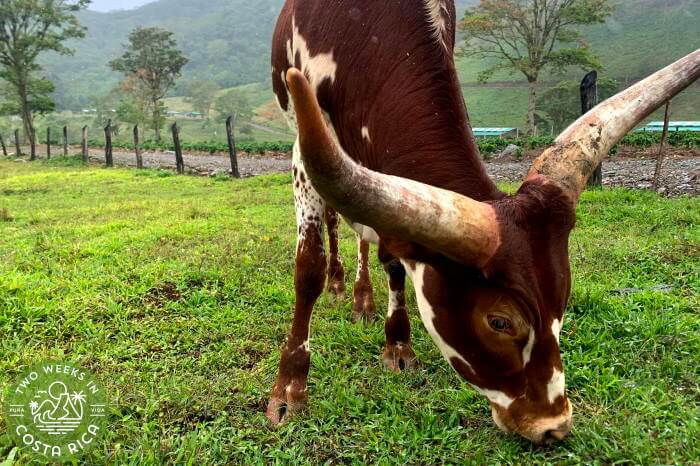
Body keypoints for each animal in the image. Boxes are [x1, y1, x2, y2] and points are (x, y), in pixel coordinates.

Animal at [264, 0, 700, 444]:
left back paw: (362, 299)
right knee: (335, 224)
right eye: (499, 321)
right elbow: (308, 268)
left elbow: (394, 258)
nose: (554, 424)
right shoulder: (306, 146)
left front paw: (398, 345)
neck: (366, 32)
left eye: (562, 302)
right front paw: (289, 391)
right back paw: (340, 285)